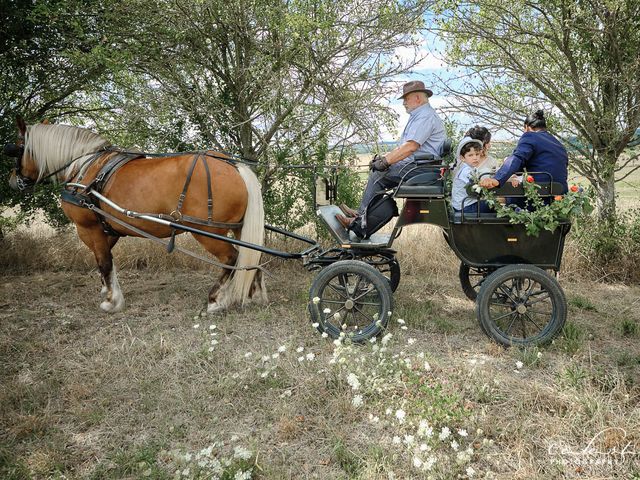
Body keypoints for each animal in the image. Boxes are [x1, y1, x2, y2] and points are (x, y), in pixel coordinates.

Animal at [7, 118, 268, 316]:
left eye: (17, 149)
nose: (11, 181)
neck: (83, 169)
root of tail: (232, 165)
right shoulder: (109, 228)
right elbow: (104, 261)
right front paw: (106, 290)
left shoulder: (88, 227)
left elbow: (104, 261)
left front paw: (112, 302)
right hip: (238, 228)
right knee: (251, 255)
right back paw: (254, 295)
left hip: (207, 232)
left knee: (231, 258)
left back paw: (215, 300)